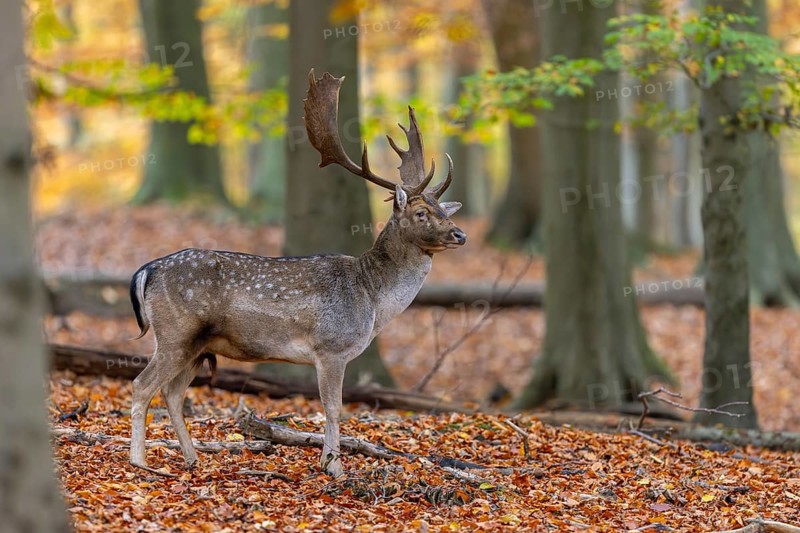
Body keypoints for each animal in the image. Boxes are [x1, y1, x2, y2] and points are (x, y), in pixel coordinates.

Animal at [128, 70, 466, 478]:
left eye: (444, 210)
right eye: (420, 213)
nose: (460, 234)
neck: (372, 299)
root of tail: (147, 270)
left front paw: (328, 462)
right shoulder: (331, 347)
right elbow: (334, 407)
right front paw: (335, 468)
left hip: (196, 345)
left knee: (173, 392)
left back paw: (193, 459)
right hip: (175, 333)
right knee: (142, 385)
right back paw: (140, 462)